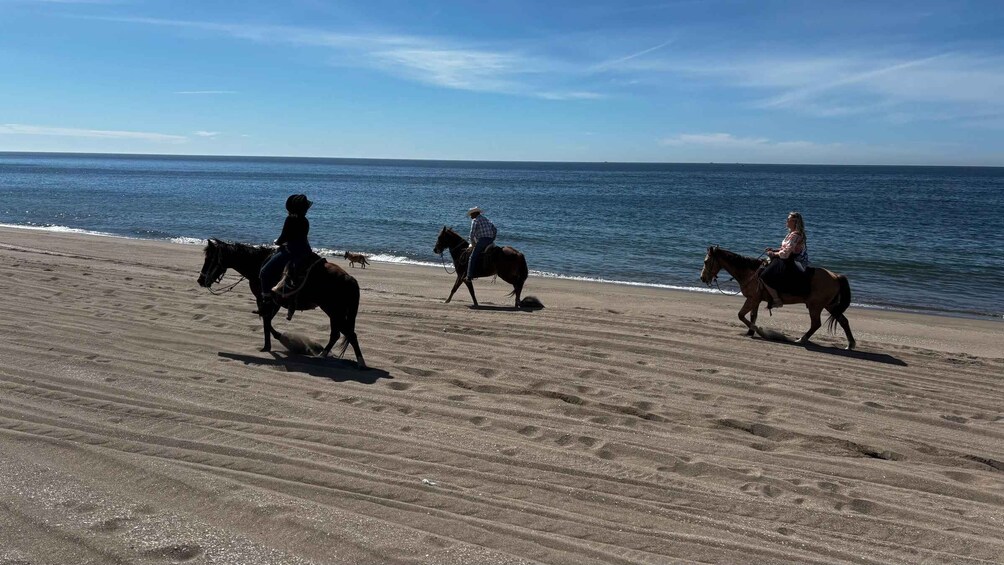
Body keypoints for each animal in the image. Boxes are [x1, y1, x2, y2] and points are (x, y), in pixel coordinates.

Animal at [194, 237, 365, 367]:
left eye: (209, 259)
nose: (200, 280)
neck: (258, 264)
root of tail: (349, 278)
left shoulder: (265, 300)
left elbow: (266, 321)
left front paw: (270, 344)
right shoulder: (273, 302)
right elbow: (267, 321)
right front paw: (275, 340)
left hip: (334, 310)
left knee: (349, 334)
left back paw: (360, 363)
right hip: (334, 312)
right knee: (337, 334)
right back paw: (322, 354)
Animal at [698, 246, 855, 349]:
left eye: (706, 261)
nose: (702, 278)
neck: (751, 273)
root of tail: (836, 276)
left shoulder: (752, 299)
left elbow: (741, 315)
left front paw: (759, 331)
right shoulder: (755, 300)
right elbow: (752, 315)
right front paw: (750, 332)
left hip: (815, 306)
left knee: (816, 324)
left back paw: (801, 339)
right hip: (830, 306)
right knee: (843, 321)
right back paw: (850, 344)